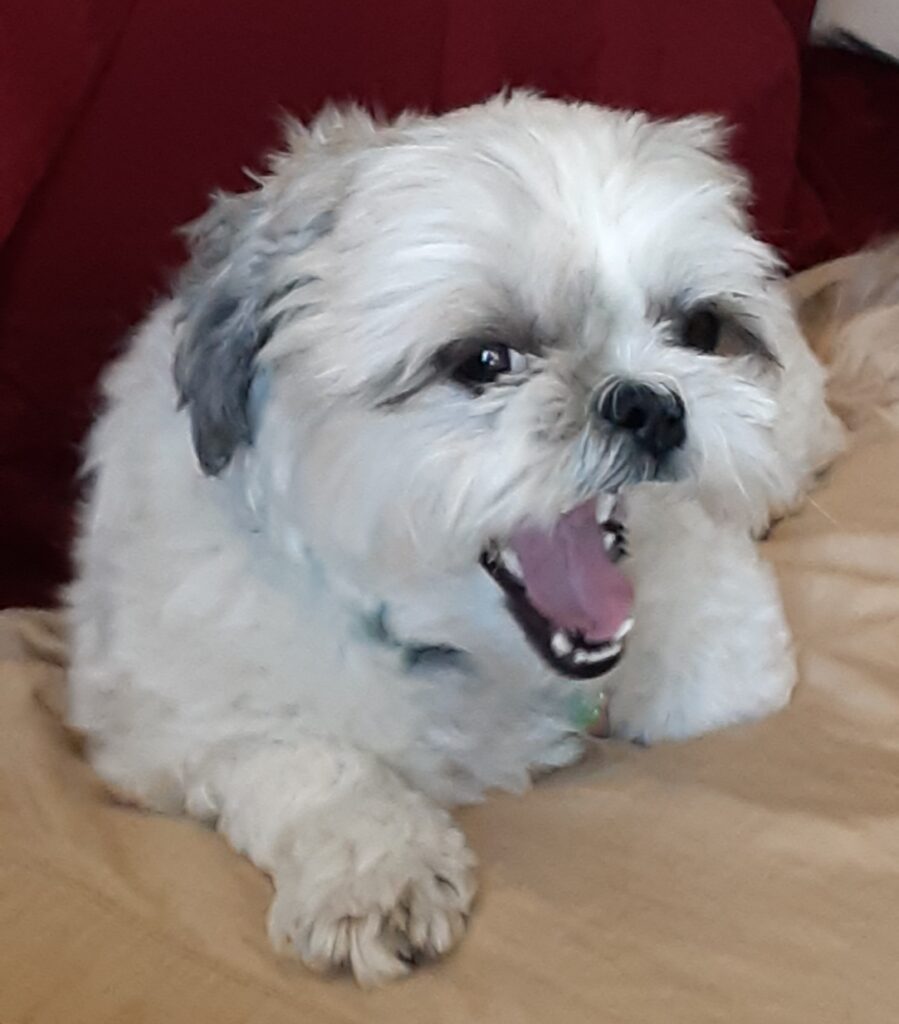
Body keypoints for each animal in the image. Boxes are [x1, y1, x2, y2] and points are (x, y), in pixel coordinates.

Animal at [68, 94, 843, 983]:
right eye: (482, 359)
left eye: (701, 327)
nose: (649, 403)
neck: (469, 658)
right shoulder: (172, 727)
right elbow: (306, 761)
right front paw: (377, 869)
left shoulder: (727, 649)